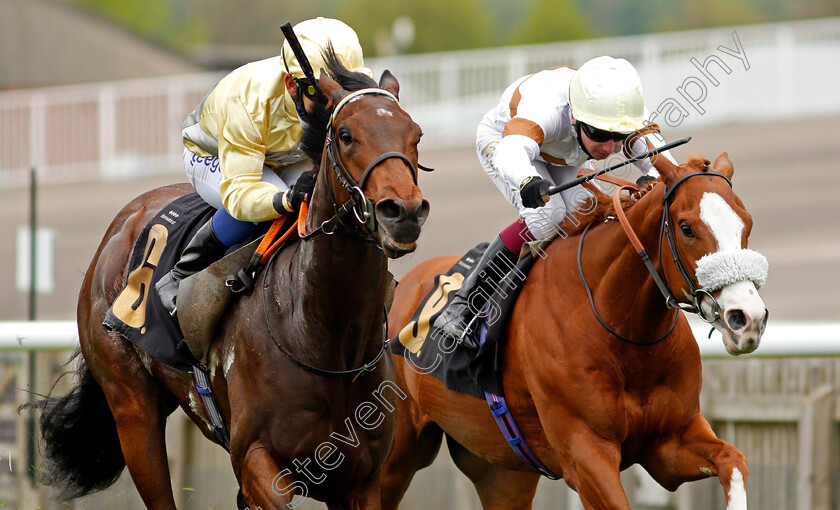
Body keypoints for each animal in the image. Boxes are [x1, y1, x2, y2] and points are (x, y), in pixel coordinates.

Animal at [29, 56, 430, 510]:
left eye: (416, 134)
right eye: (346, 135)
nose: (403, 211)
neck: (325, 341)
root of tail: (120, 226)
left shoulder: (363, 480)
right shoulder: (255, 459)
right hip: (132, 409)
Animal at [380, 154, 768, 510]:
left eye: (747, 222)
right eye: (687, 228)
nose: (747, 318)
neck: (623, 333)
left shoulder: (669, 441)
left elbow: (733, 460)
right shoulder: (585, 453)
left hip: (502, 470)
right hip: (396, 456)